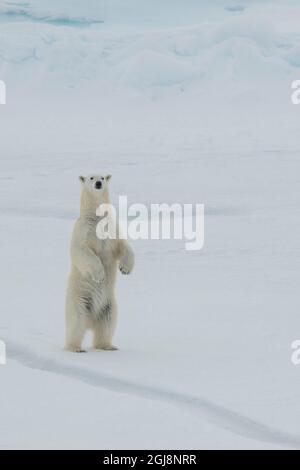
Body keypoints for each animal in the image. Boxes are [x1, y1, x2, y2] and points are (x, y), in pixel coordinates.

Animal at [65, 174, 134, 350]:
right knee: (76, 322)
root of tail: (91, 320)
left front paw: (125, 268)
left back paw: (108, 346)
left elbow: (123, 245)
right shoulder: (83, 229)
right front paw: (100, 275)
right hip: (79, 300)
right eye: (91, 177)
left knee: (107, 324)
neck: (97, 217)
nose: (98, 183)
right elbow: (82, 250)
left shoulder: (112, 228)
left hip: (108, 305)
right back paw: (75, 348)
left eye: (102, 177)